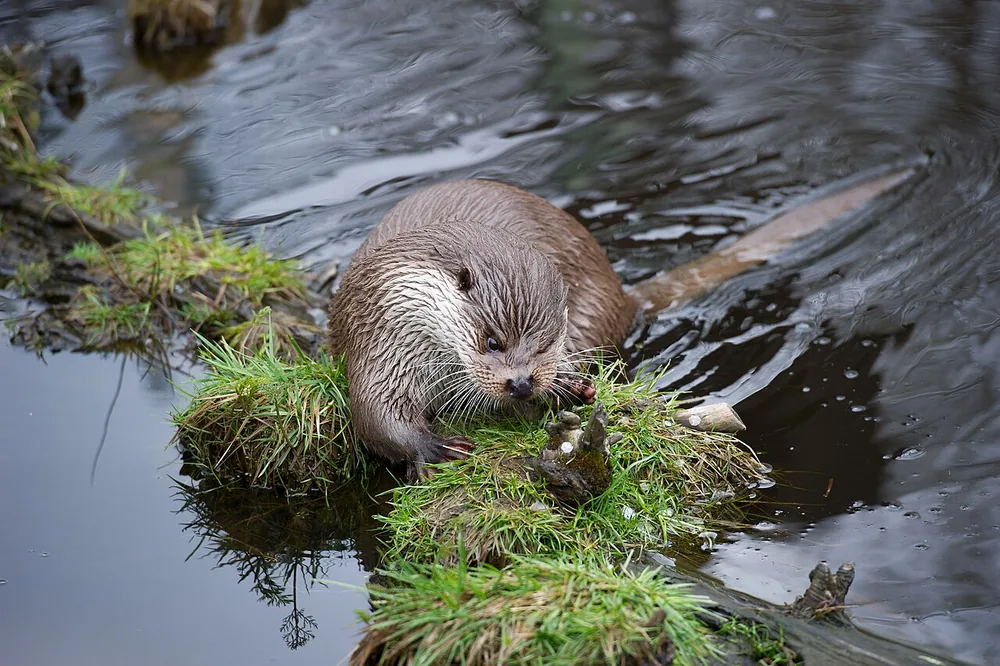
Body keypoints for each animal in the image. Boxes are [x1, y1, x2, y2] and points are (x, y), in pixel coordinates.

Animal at [327, 179, 636, 477]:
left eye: (546, 345)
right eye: (492, 342)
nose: (521, 383)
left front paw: (571, 385)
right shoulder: (382, 335)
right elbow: (375, 411)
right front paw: (436, 448)